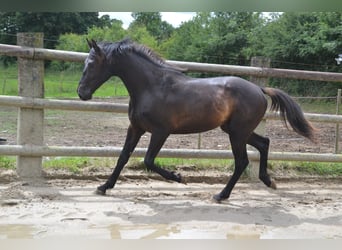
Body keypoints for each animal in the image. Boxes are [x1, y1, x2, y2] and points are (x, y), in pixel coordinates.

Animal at [77, 39, 316, 202]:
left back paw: (221, 195)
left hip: (237, 133)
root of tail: (259, 89)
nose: (81, 93)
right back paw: (268, 181)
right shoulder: (135, 128)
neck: (153, 87)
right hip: (235, 130)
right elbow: (123, 157)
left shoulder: (161, 132)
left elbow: (148, 161)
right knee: (264, 143)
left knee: (242, 161)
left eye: (92, 63)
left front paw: (179, 177)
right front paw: (104, 186)